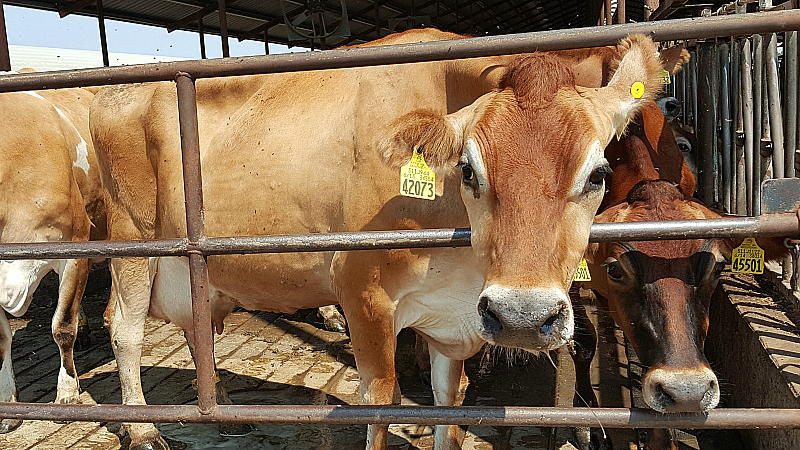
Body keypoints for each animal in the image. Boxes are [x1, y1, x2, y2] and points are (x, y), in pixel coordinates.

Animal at [87, 29, 664, 448]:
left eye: (598, 174)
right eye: (469, 169)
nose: (522, 315)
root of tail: (117, 88)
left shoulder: (454, 320)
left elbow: (450, 399)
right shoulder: (362, 291)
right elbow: (381, 397)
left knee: (197, 324)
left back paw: (224, 410)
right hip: (134, 240)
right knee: (123, 329)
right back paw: (142, 429)